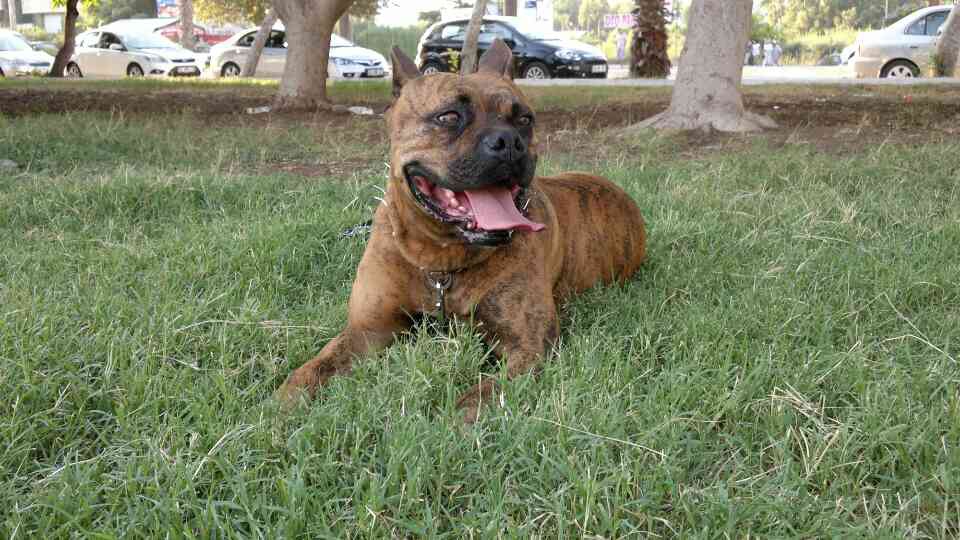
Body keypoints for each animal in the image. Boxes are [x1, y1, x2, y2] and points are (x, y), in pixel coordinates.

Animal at [282, 41, 648, 422]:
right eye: (448, 117)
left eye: (524, 120)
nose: (508, 141)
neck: (440, 261)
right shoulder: (367, 330)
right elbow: (310, 370)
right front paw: (282, 407)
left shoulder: (528, 344)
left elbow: (482, 396)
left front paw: (454, 421)